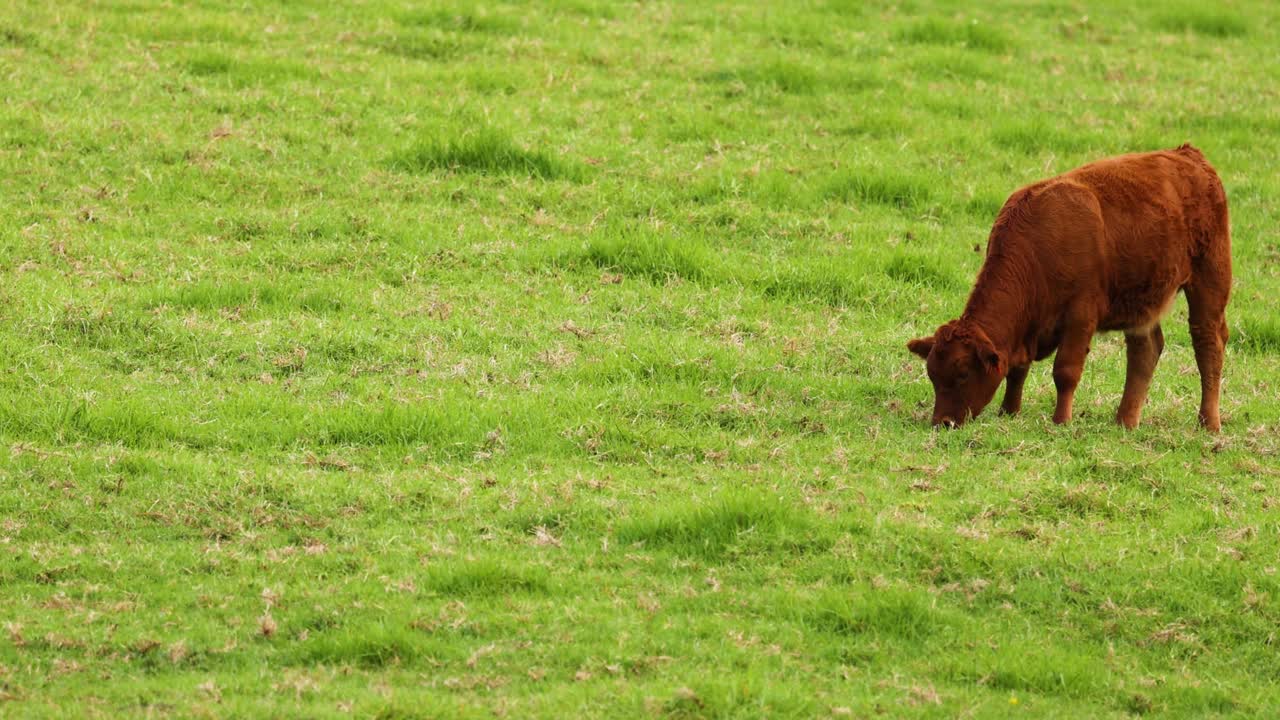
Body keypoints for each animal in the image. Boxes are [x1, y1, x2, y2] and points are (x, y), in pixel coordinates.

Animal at [908, 144, 1231, 431]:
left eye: (963, 373)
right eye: (932, 375)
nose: (943, 422)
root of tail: (1187, 155)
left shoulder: (1081, 315)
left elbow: (1065, 370)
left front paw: (1061, 420)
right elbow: (1017, 370)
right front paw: (1009, 411)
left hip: (1210, 277)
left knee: (1207, 343)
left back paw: (1209, 423)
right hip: (1144, 298)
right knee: (1145, 350)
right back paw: (1125, 421)